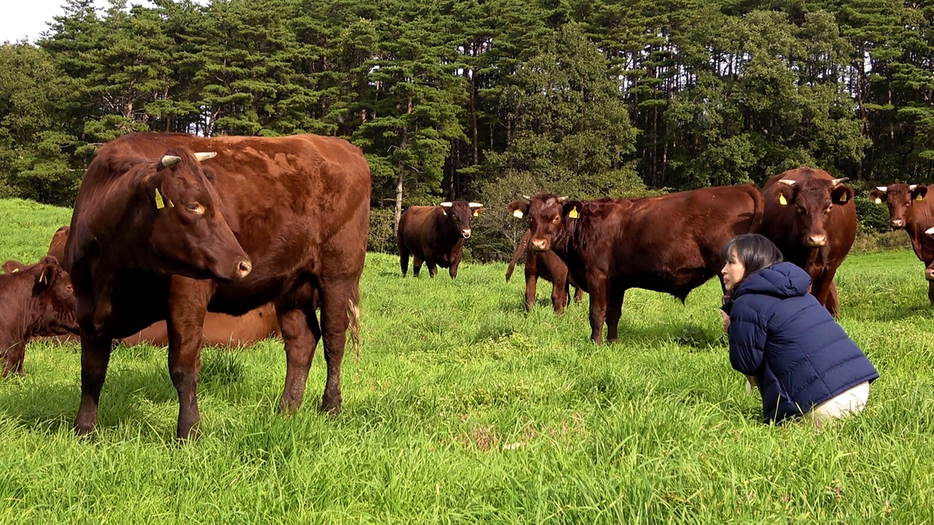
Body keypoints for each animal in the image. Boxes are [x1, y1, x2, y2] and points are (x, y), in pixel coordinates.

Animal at [512, 185, 768, 344]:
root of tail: (740, 187)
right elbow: (613, 314)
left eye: (556, 217)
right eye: (531, 218)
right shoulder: (616, 283)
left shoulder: (597, 276)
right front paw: (613, 342)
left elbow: (596, 312)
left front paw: (595, 343)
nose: (537, 243)